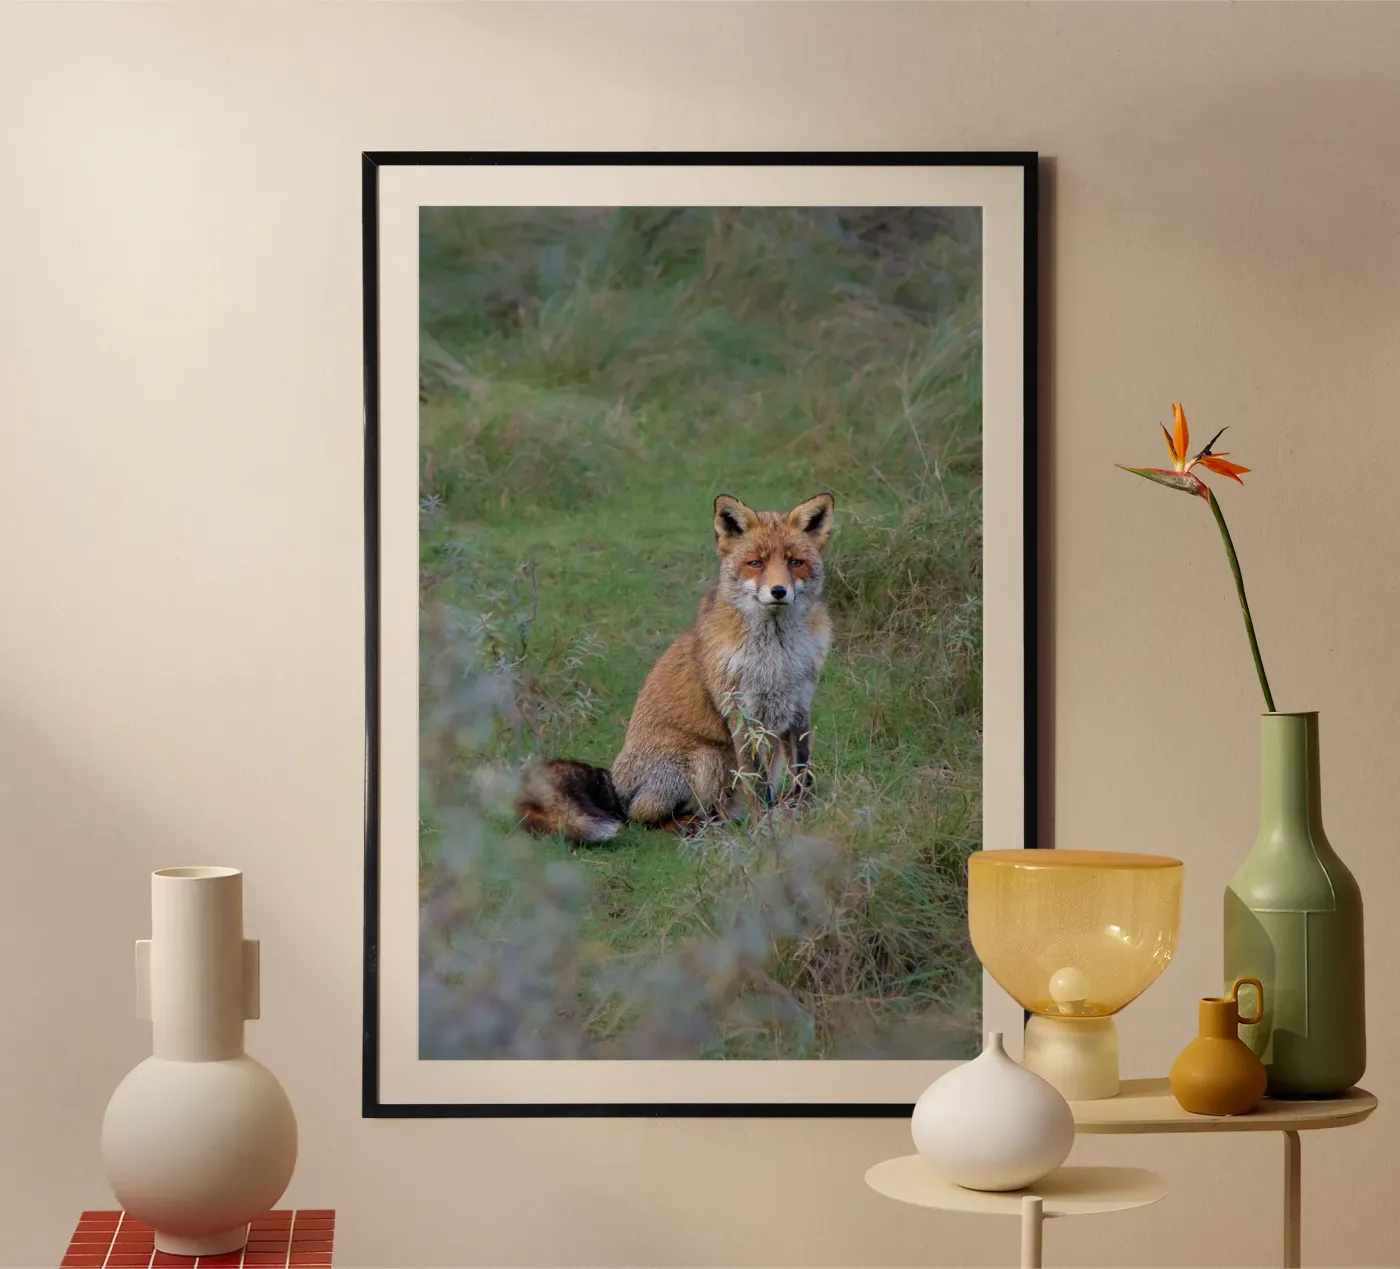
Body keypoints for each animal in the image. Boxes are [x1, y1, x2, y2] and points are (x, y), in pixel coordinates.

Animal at [515, 491, 836, 844]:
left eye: (795, 562)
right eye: (756, 563)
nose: (778, 591)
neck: (778, 655)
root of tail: (616, 789)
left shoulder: (800, 704)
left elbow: (803, 774)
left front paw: (802, 817)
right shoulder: (741, 711)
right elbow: (757, 781)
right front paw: (766, 829)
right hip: (706, 758)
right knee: (641, 818)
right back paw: (689, 826)